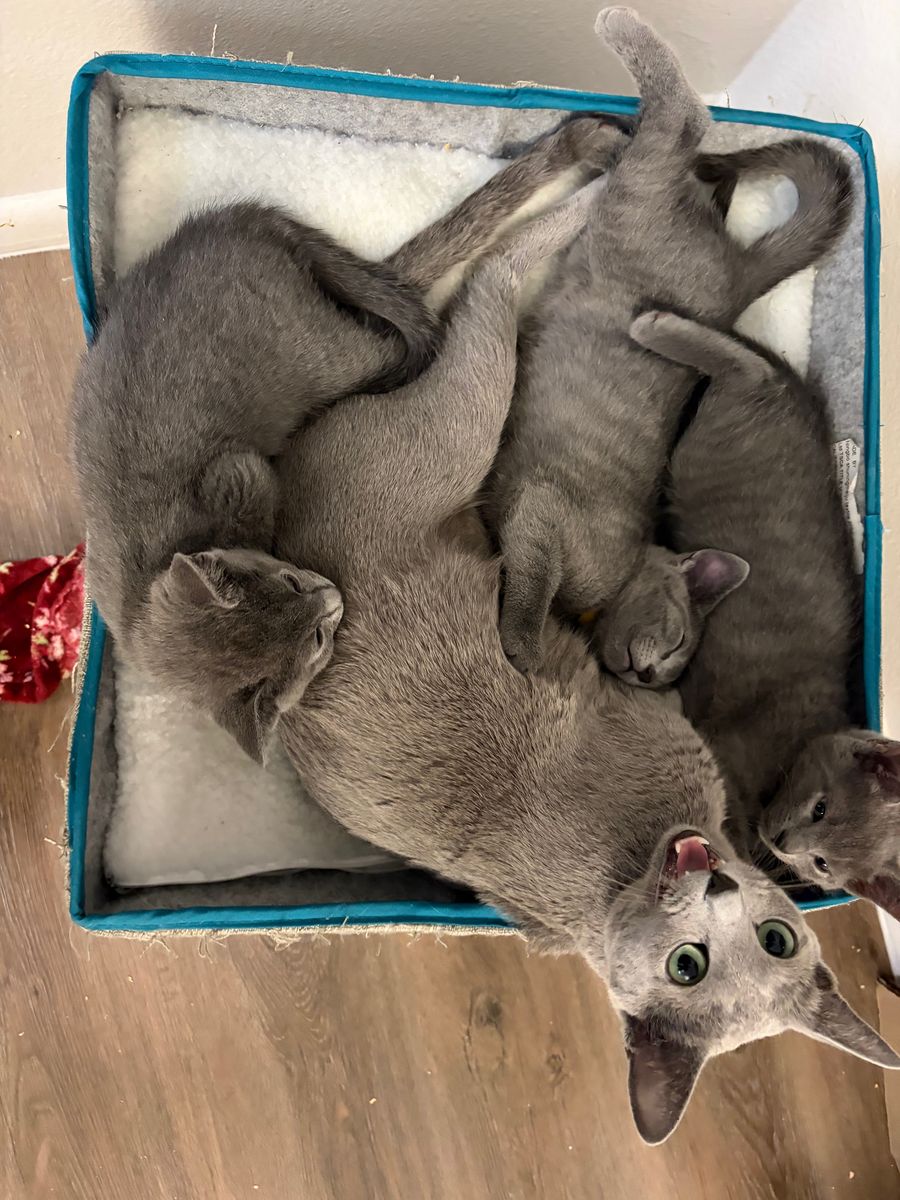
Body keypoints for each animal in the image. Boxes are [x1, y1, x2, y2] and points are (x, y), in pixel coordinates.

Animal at [71, 114, 626, 761]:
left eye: (289, 581)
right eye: (316, 638)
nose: (331, 597)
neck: (138, 597)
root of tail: (255, 225)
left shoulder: (240, 473)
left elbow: (256, 489)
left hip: (331, 360)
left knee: (403, 318)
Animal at [487, 7, 852, 675]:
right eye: (679, 634)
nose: (650, 669)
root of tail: (737, 271)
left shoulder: (539, 517)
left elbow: (526, 580)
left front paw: (522, 653)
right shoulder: (546, 521)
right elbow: (531, 591)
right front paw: (524, 649)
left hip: (633, 203)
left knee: (679, 123)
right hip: (637, 198)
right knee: (680, 122)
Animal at [598, 311, 900, 918]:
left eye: (822, 865)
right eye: (820, 808)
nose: (783, 843)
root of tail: (806, 405)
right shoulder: (730, 754)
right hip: (716, 439)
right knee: (746, 368)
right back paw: (654, 326)